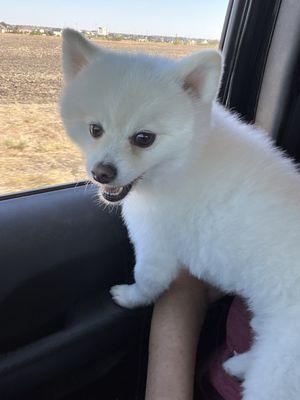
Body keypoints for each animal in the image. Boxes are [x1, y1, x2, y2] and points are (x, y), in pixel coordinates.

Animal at [60, 28, 300, 400]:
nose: (102, 173)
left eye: (144, 138)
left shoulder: (155, 243)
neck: (186, 157)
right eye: (95, 129)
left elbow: (148, 279)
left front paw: (131, 298)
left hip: (283, 361)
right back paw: (238, 365)